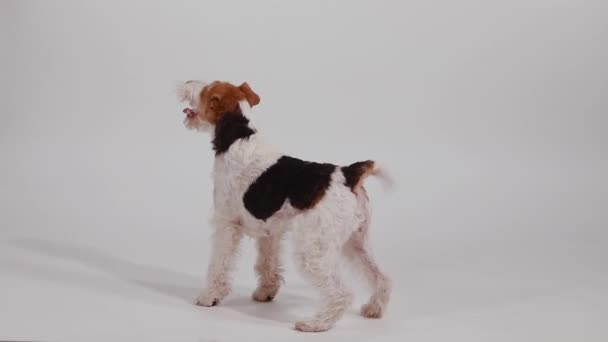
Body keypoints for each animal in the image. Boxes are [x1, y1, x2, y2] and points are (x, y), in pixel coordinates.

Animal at [178, 80, 392, 332]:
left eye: (206, 90)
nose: (185, 83)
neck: (238, 138)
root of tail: (348, 173)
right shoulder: (270, 231)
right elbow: (267, 264)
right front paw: (265, 292)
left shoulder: (226, 224)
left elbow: (219, 264)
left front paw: (209, 297)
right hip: (356, 241)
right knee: (382, 278)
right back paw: (373, 309)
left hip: (313, 249)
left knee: (342, 293)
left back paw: (314, 323)